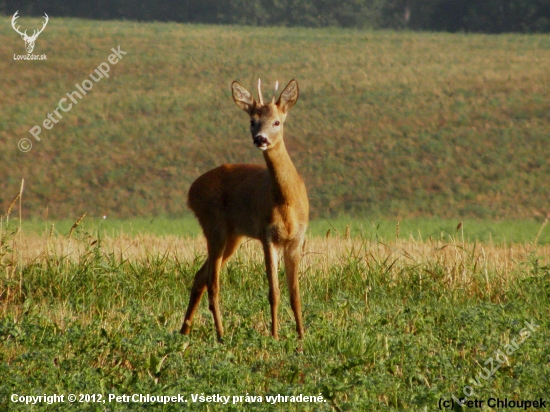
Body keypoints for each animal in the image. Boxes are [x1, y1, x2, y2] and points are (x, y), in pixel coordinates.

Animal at [182, 79, 308, 340]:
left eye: (277, 121)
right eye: (252, 121)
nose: (261, 139)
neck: (287, 203)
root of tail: (191, 191)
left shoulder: (296, 239)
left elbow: (295, 295)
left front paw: (302, 337)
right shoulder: (267, 234)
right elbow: (274, 292)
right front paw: (275, 336)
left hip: (233, 236)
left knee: (200, 277)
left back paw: (184, 331)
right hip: (214, 227)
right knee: (213, 283)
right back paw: (220, 335)